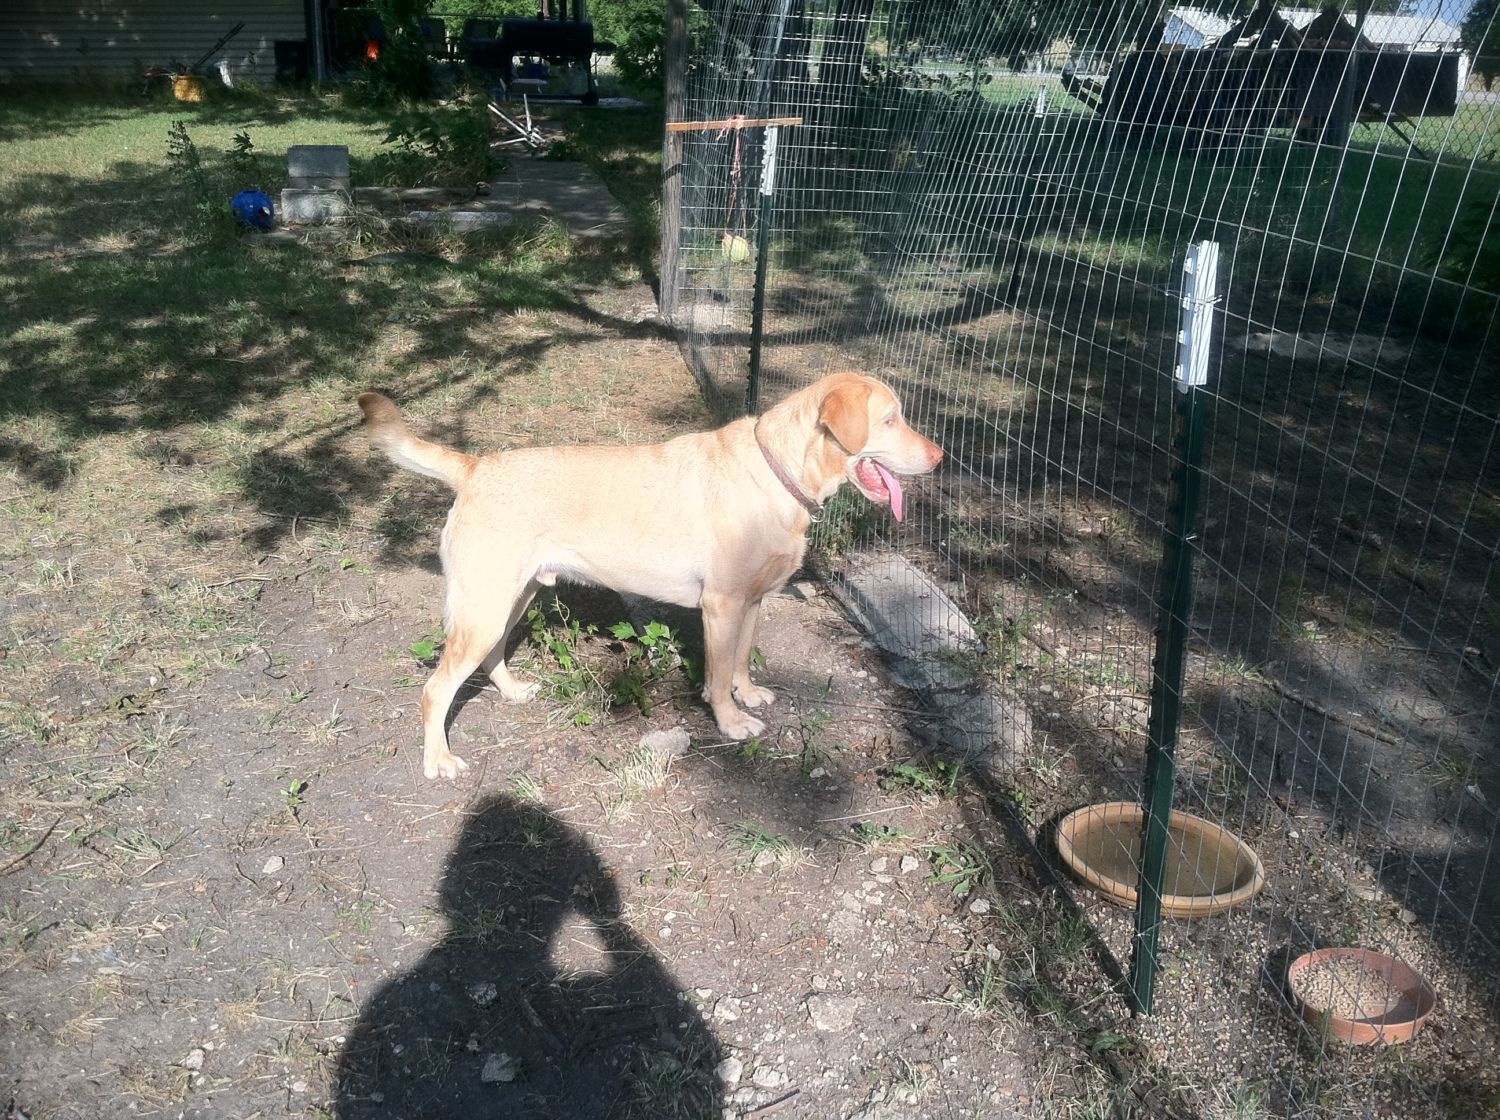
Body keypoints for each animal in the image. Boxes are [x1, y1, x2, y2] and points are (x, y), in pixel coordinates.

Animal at [358, 373, 943, 779]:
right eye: (890, 419)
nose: (940, 456)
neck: (778, 472)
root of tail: (476, 466)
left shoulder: (751, 602)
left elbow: (739, 663)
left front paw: (749, 694)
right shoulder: (721, 606)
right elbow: (717, 677)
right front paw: (730, 722)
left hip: (511, 599)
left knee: (494, 653)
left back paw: (512, 690)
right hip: (484, 606)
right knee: (436, 689)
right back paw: (439, 759)